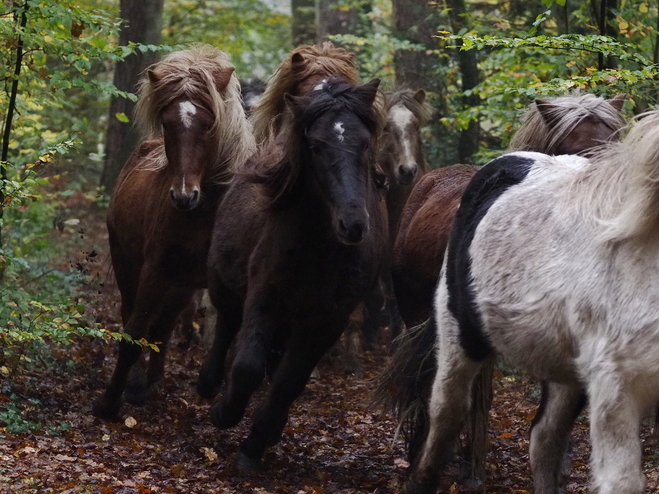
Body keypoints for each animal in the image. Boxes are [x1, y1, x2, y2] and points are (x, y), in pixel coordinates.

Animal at [92, 46, 255, 418]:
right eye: (167, 123)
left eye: (209, 125)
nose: (184, 197)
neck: (204, 214)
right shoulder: (154, 269)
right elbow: (134, 334)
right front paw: (109, 402)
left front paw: (208, 384)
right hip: (127, 262)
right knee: (132, 314)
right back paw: (137, 382)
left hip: (182, 283)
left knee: (164, 326)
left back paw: (153, 380)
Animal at [199, 76, 390, 466]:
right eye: (315, 146)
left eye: (365, 143)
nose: (353, 224)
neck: (320, 250)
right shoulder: (264, 297)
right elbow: (247, 366)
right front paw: (225, 412)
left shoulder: (328, 319)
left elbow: (291, 379)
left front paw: (259, 439)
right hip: (225, 285)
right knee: (226, 324)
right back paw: (209, 383)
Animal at [404, 109, 659, 494]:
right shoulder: (616, 386)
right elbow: (621, 479)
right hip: (458, 336)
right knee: (446, 412)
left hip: (566, 371)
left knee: (543, 438)